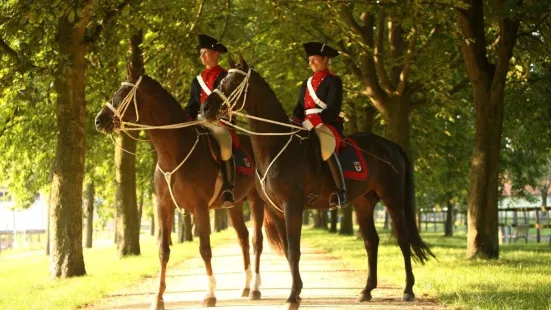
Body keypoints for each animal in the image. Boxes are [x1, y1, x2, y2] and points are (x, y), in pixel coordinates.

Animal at [95, 66, 266, 308]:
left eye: (122, 94)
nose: (99, 120)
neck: (174, 153)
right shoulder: (164, 208)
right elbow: (163, 251)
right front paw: (158, 298)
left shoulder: (200, 208)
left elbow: (205, 249)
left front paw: (210, 294)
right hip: (233, 205)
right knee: (243, 238)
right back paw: (246, 285)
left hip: (256, 200)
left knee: (256, 240)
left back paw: (255, 288)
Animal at [203, 57, 436, 308]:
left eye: (232, 82)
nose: (205, 109)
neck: (277, 146)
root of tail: (391, 146)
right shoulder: (276, 210)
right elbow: (289, 250)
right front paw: (296, 292)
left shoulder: (292, 207)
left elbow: (294, 251)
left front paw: (293, 297)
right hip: (363, 202)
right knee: (371, 241)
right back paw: (366, 290)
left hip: (392, 199)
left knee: (403, 240)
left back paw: (408, 289)